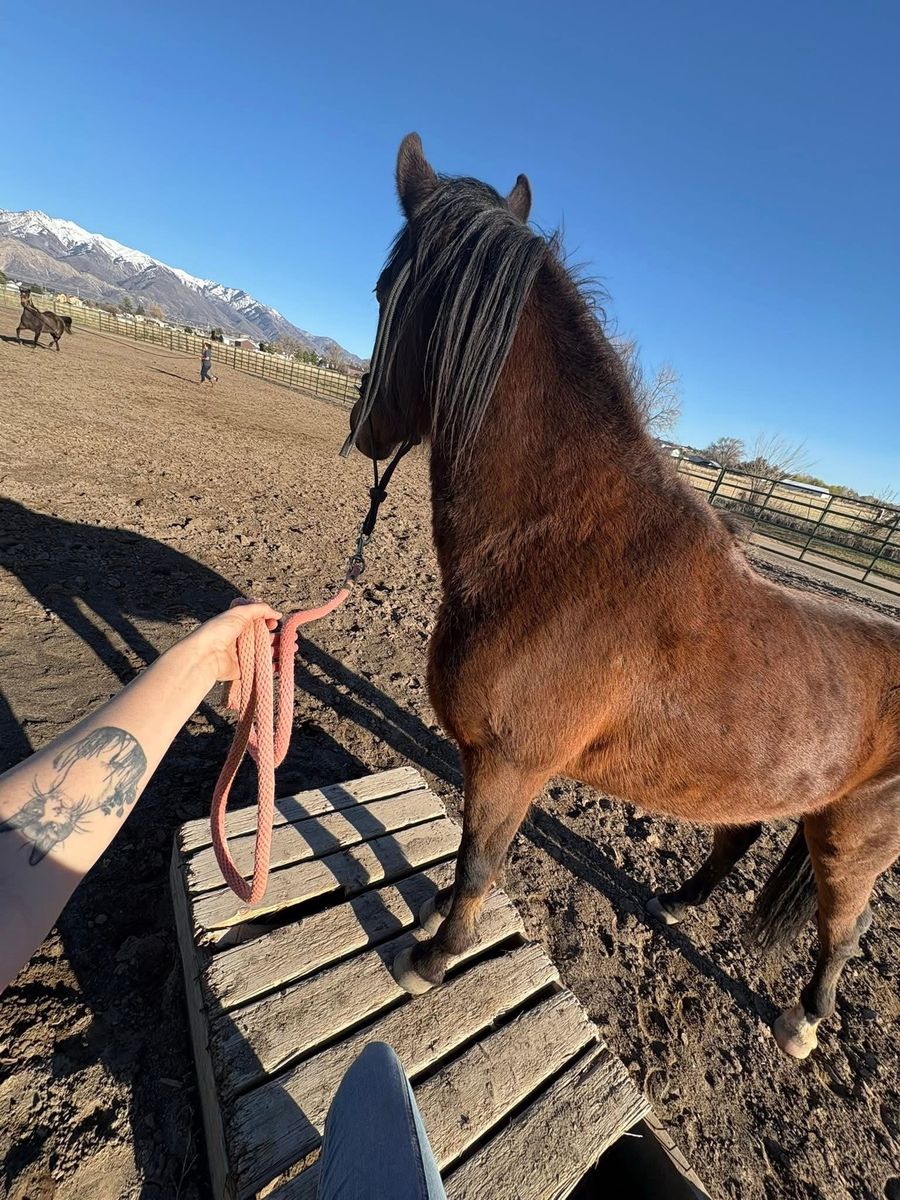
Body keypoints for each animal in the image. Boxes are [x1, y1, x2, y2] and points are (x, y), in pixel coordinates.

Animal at [347, 134, 900, 1060]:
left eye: (384, 289)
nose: (364, 428)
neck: (557, 550)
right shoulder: (485, 760)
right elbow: (462, 850)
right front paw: (429, 920)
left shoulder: (512, 763)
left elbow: (478, 860)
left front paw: (433, 957)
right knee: (738, 832)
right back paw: (673, 904)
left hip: (854, 838)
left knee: (843, 930)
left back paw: (803, 1021)